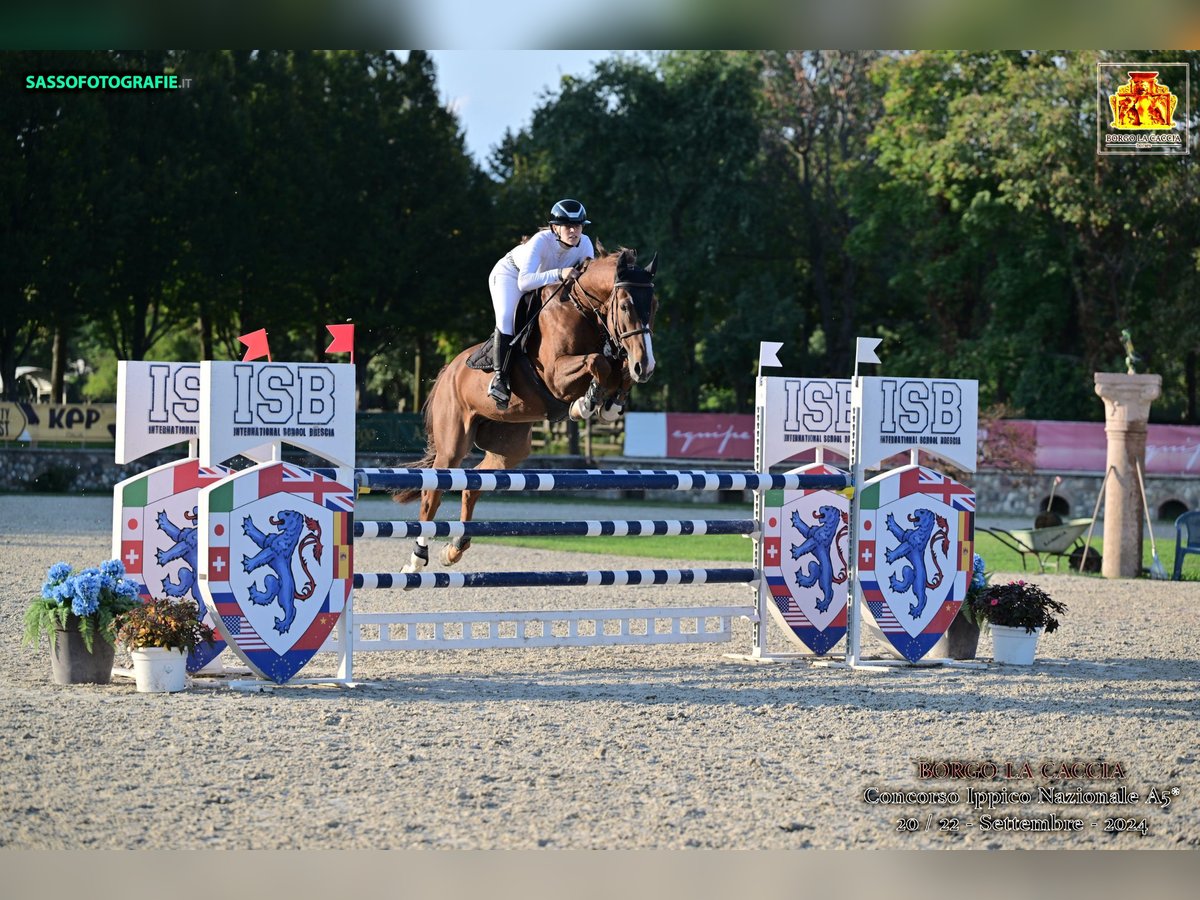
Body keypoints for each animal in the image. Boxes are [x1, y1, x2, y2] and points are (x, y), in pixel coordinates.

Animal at [391, 247, 657, 571]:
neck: (582, 311)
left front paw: (610, 404)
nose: (646, 365)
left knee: (473, 484)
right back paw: (417, 559)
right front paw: (584, 404)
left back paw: (454, 549)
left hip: (510, 447)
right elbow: (599, 362)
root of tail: (447, 373)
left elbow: (618, 370)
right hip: (452, 443)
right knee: (433, 492)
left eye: (653, 305)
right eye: (626, 306)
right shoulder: (555, 377)